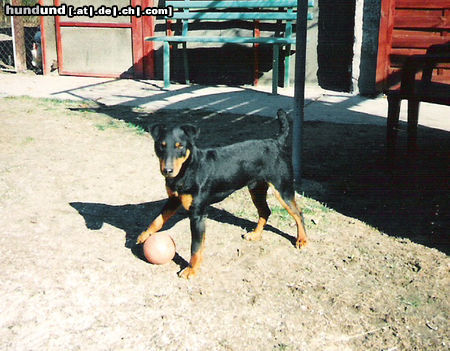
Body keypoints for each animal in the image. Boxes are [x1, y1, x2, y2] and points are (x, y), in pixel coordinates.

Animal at [135, 108, 308, 280]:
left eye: (180, 146)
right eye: (161, 146)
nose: (168, 170)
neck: (187, 169)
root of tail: (277, 142)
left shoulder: (197, 214)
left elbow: (195, 247)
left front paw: (191, 270)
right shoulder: (174, 200)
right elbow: (157, 220)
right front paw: (144, 236)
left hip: (282, 189)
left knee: (298, 213)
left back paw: (302, 240)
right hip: (256, 189)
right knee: (265, 211)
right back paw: (255, 235)